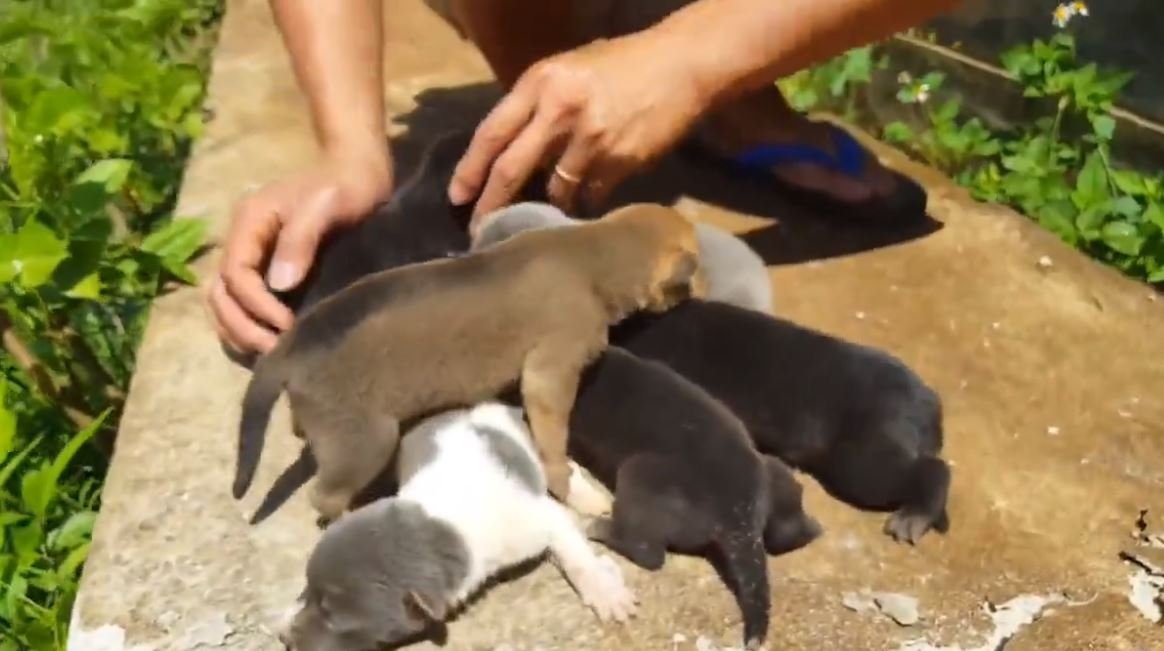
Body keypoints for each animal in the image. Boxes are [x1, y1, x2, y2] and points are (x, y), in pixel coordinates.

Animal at [226, 201, 698, 521]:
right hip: (367, 439)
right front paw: (570, 487)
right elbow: (552, 440)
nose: (695, 297)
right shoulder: (551, 371)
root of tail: (292, 344)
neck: (593, 251)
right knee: (325, 497)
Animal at [280, 402, 637, 651]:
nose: (283, 636)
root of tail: (473, 409)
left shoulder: (541, 516)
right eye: (307, 589)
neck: (441, 519)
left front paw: (606, 592)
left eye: (332, 616)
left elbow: (577, 555)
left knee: (560, 466)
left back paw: (586, 495)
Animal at [558, 351, 824, 651]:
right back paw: (813, 527)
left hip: (636, 474)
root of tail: (740, 517)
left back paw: (598, 528)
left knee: (648, 552)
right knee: (787, 528)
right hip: (774, 473)